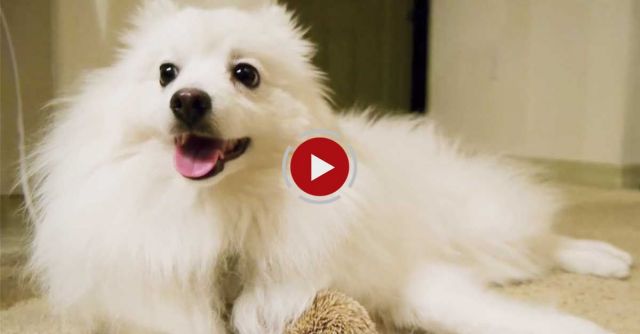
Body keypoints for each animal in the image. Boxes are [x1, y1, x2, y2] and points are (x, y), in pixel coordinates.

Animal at [28, 1, 632, 332]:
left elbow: (473, 312)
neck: (228, 213)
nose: (188, 100)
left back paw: (606, 257)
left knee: (542, 239)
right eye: (166, 73)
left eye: (245, 74)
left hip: (477, 224)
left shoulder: (389, 273)